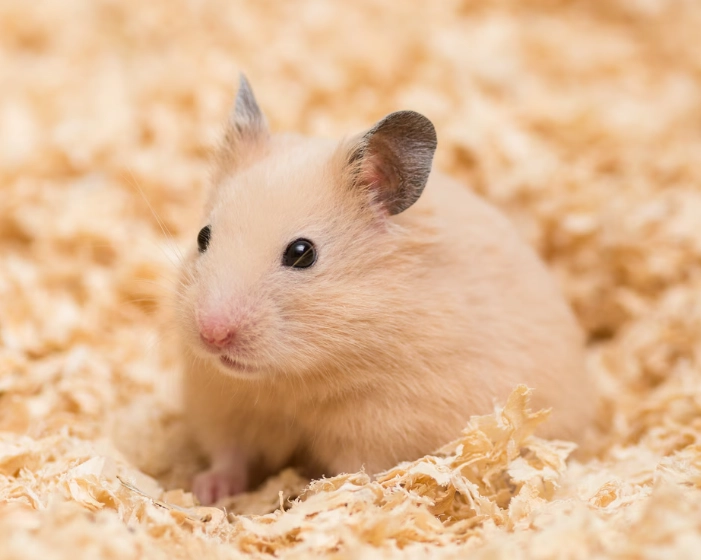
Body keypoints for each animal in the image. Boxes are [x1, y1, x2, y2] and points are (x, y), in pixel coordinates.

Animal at [174, 76, 595, 506]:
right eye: (203, 236)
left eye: (302, 253)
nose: (212, 334)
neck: (290, 381)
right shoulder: (223, 402)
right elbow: (229, 454)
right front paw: (205, 491)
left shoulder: (385, 426)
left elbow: (356, 471)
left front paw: (321, 496)